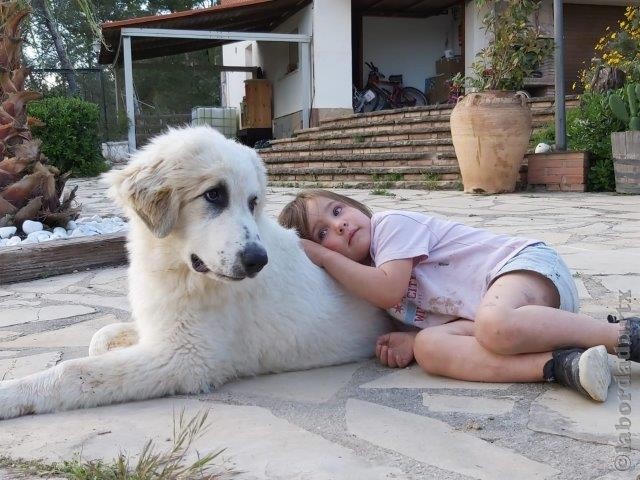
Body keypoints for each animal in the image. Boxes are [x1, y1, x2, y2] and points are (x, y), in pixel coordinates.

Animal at [0, 125, 390, 418]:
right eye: (214, 195)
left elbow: (73, 371)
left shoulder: (183, 359)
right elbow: (102, 336)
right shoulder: (160, 325)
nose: (257, 261)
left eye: (252, 202)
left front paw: (10, 394)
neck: (178, 269)